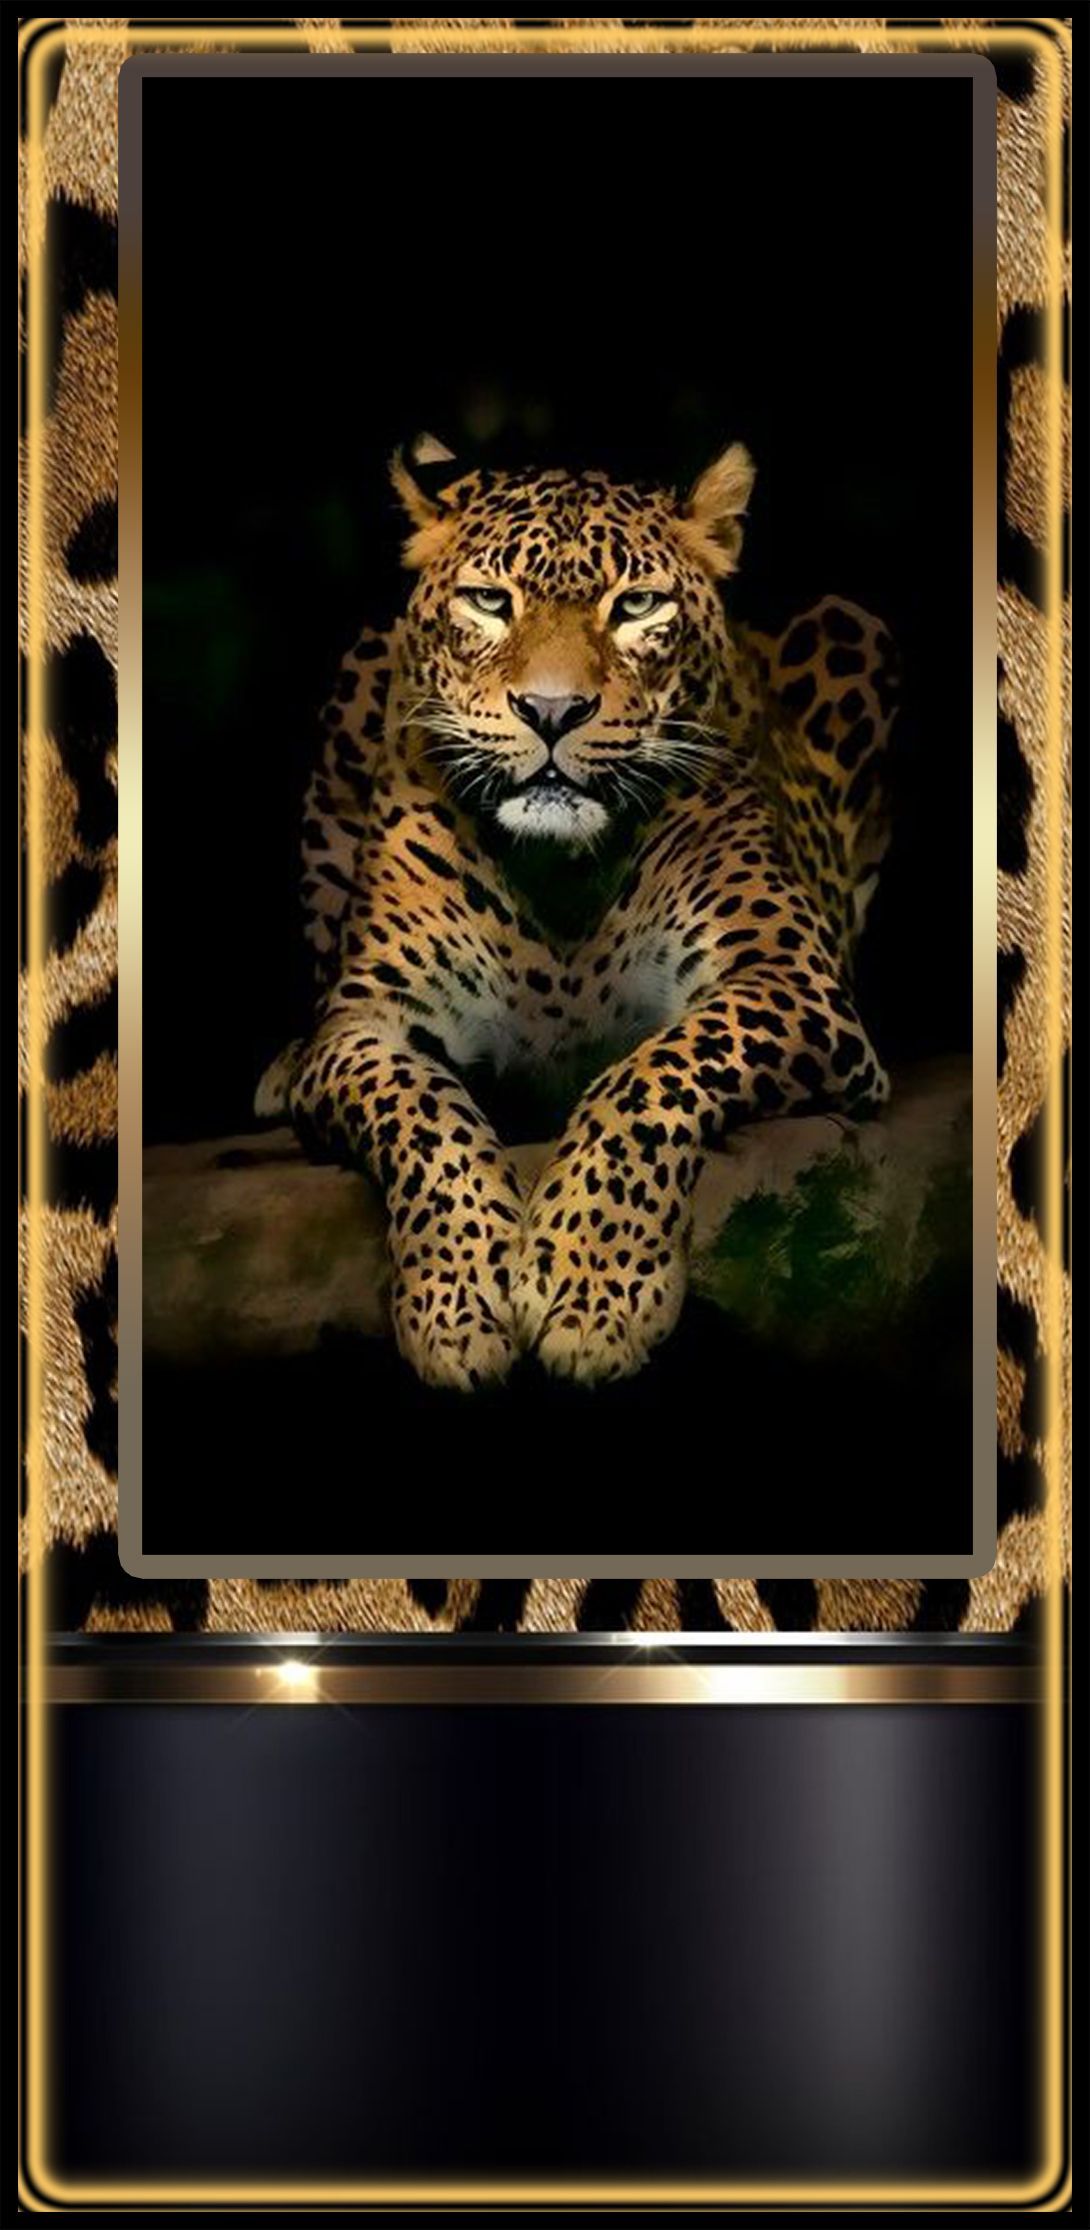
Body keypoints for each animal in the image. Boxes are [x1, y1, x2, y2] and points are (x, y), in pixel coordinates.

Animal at [257, 436, 899, 1392]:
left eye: (636, 606)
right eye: (492, 602)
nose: (552, 711)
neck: (558, 874)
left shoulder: (790, 980)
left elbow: (649, 1078)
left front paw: (591, 1289)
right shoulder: (368, 1022)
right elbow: (422, 1113)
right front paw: (459, 1298)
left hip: (853, 628)